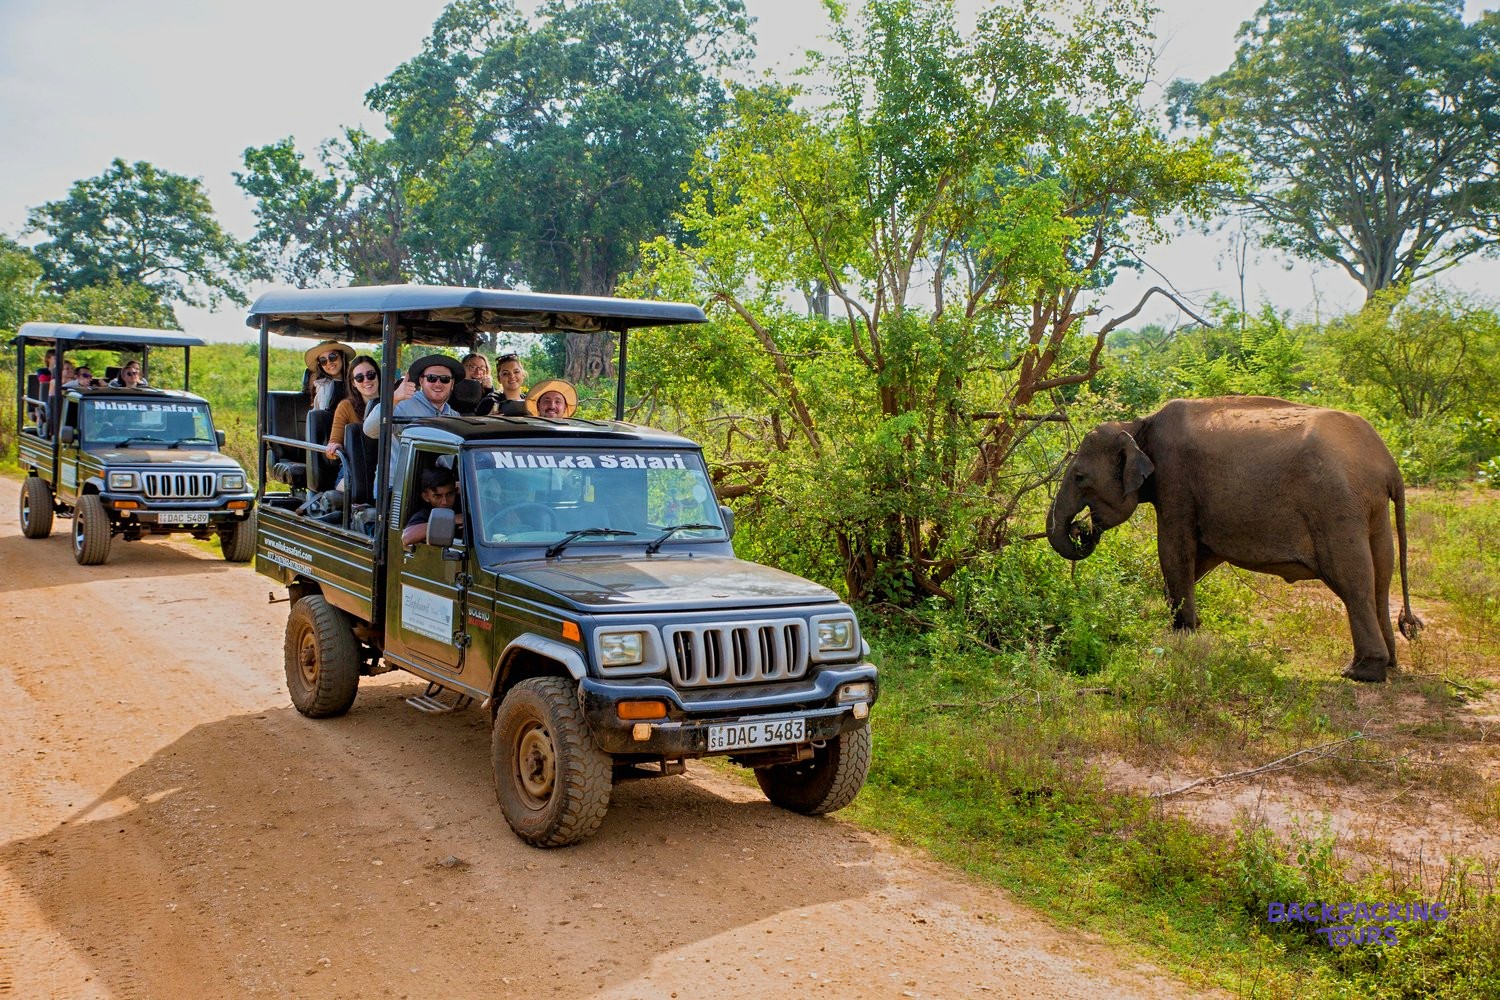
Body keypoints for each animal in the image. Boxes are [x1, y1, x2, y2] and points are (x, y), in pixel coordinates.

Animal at [1046, 396, 1421, 682]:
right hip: (1371, 509)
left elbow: (1174, 549)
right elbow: (1201, 556)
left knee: (1352, 578)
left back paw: (1360, 673)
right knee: (1380, 577)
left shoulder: (1175, 480)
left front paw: (1183, 635)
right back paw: (1389, 665)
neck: (1139, 424)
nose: (1082, 529)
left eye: (1079, 477)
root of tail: (1388, 464)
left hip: (1336, 506)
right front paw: (1181, 625)